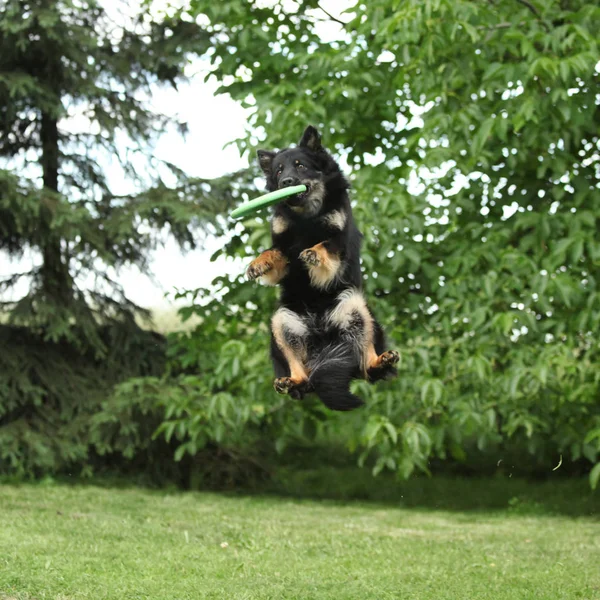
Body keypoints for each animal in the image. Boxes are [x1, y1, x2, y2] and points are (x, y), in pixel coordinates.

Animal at [245, 124, 398, 410]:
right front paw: (257, 264)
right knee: (302, 377)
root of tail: (322, 337)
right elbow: (272, 252)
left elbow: (326, 246)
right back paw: (289, 382)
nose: (286, 182)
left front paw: (313, 253)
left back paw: (381, 361)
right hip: (283, 322)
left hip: (354, 308)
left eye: (300, 165)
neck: (305, 215)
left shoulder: (339, 243)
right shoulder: (284, 250)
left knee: (367, 367)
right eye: (279, 171)